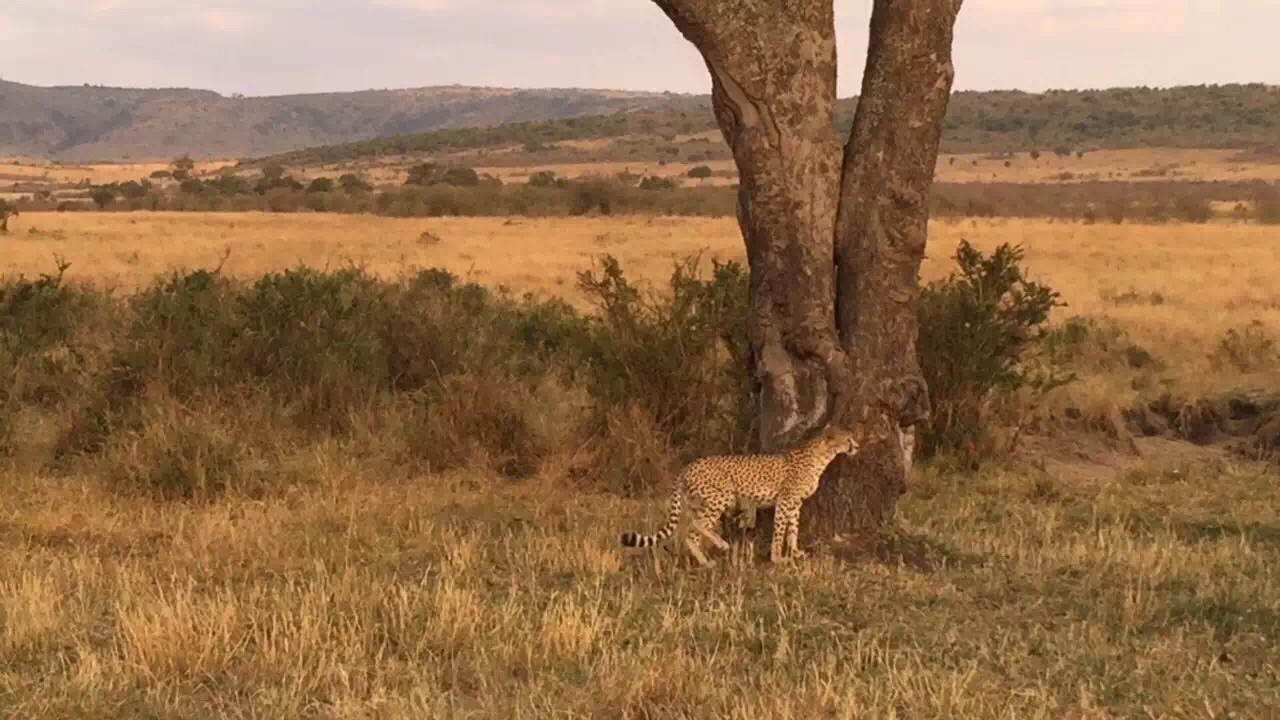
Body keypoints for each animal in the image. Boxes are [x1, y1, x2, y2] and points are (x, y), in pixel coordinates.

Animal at [619, 422, 860, 563]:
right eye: (848, 439)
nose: (857, 446)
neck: (822, 455)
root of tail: (687, 466)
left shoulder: (795, 503)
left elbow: (793, 529)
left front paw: (795, 552)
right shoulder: (785, 500)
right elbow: (780, 530)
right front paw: (777, 558)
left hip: (702, 502)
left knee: (691, 534)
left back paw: (705, 562)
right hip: (720, 496)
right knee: (696, 524)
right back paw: (721, 544)